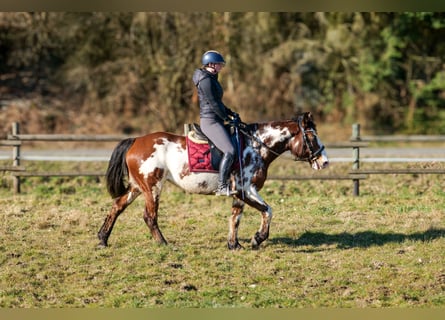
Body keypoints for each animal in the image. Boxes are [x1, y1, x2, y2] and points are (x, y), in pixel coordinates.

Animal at [99, 112, 330, 250]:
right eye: (312, 137)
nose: (324, 161)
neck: (255, 147)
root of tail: (135, 141)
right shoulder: (247, 189)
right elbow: (267, 210)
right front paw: (257, 238)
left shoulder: (239, 193)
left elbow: (235, 218)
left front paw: (234, 244)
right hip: (152, 188)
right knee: (149, 216)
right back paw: (164, 243)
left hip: (137, 187)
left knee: (117, 206)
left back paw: (102, 239)